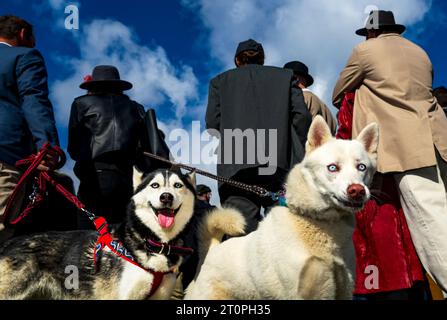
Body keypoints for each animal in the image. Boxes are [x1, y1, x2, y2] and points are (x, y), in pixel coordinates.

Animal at [185, 115, 378, 300]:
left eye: (362, 167)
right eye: (333, 167)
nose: (357, 190)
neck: (320, 222)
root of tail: (212, 249)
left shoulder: (343, 289)